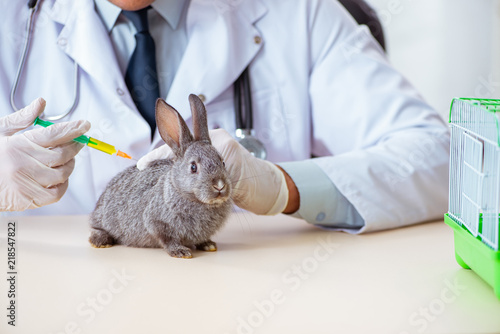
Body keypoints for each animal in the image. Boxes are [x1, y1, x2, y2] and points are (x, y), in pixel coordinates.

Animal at [88, 94, 232, 258]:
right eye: (193, 167)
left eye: (223, 162)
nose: (220, 185)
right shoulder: (156, 222)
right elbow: (167, 238)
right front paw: (180, 252)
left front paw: (208, 245)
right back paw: (101, 242)